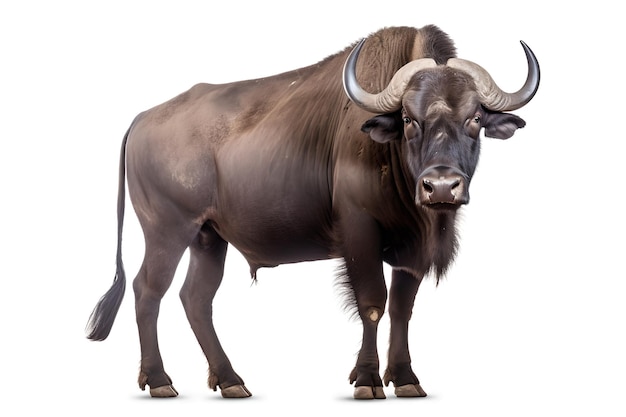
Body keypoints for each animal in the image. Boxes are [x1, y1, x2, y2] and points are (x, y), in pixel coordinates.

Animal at [86, 23, 536, 400]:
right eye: (409, 119)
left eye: (474, 118)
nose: (441, 186)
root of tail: (143, 119)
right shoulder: (359, 234)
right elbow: (373, 302)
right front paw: (368, 380)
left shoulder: (411, 253)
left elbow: (402, 308)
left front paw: (406, 379)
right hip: (167, 232)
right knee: (148, 291)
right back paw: (160, 381)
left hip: (208, 238)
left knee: (195, 298)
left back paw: (231, 381)